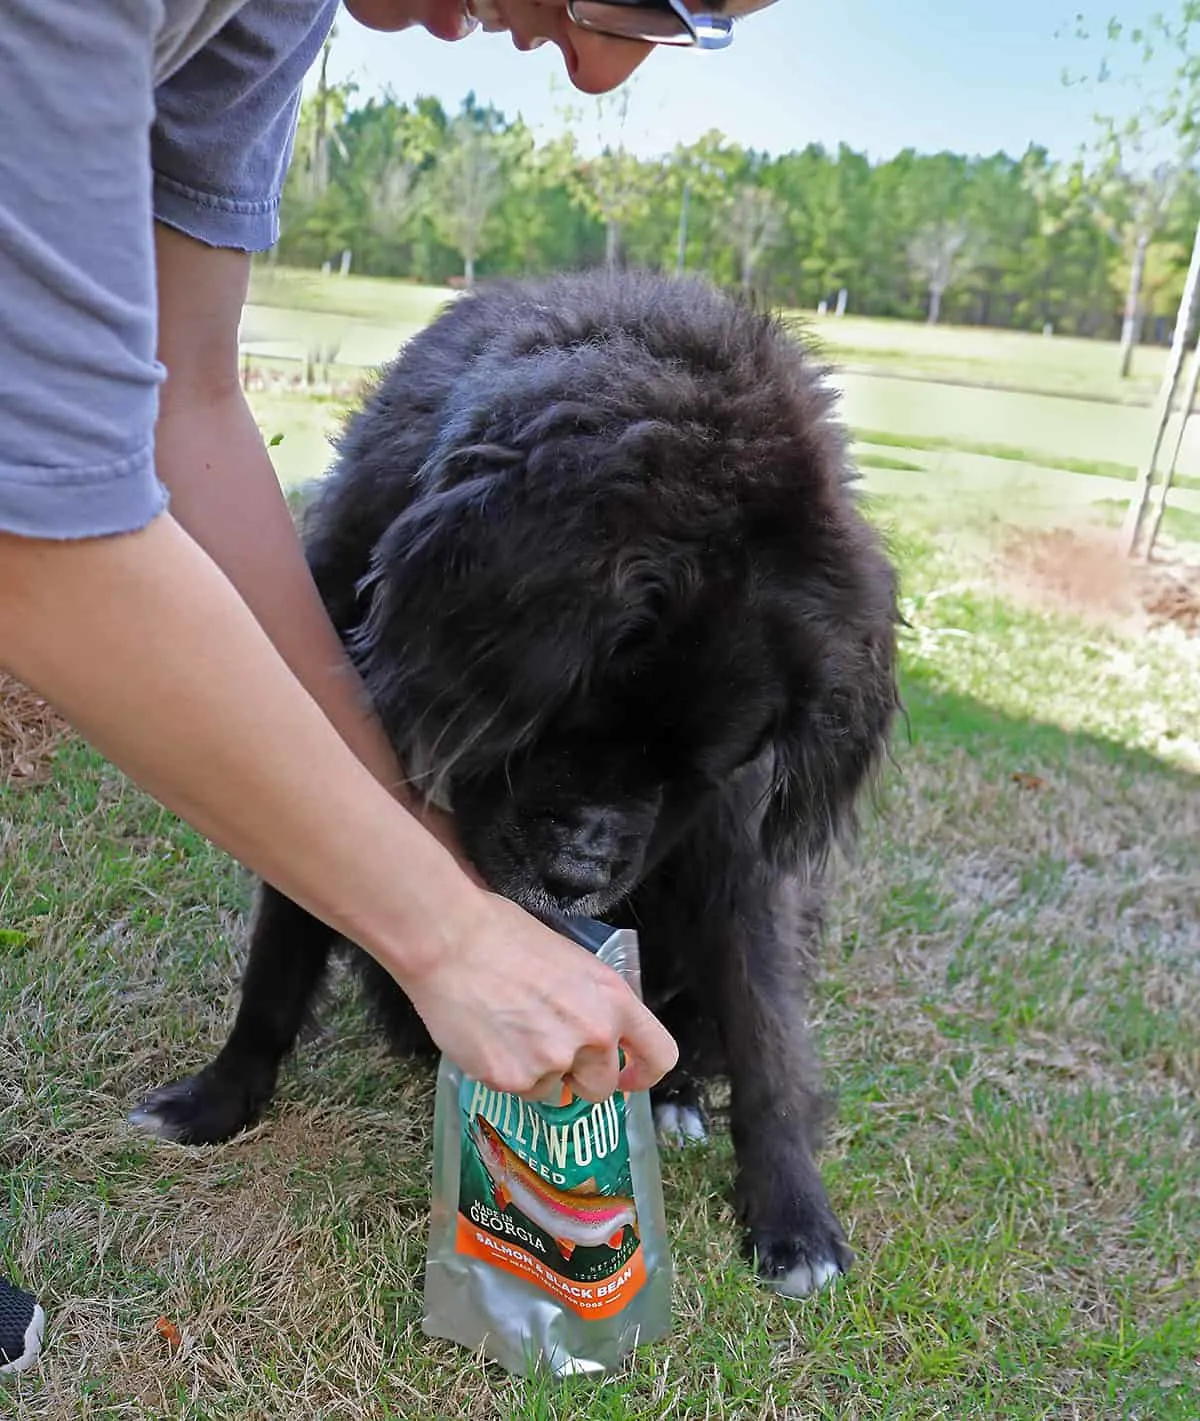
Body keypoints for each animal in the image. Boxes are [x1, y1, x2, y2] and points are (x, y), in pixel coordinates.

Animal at [133, 267, 898, 1301]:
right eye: (555, 724)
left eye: (694, 775)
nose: (575, 880)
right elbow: (278, 960)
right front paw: (220, 1098)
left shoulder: (735, 856)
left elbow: (768, 1037)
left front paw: (794, 1219)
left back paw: (674, 1095)